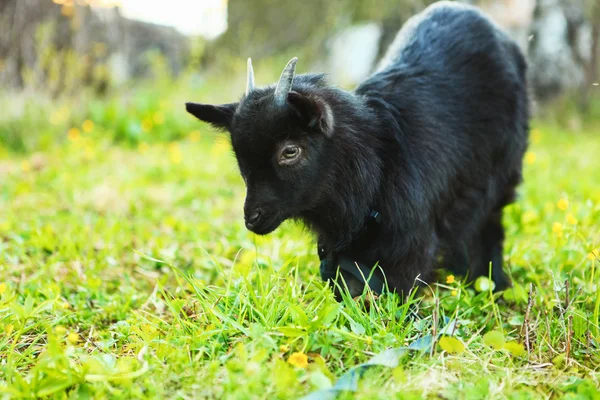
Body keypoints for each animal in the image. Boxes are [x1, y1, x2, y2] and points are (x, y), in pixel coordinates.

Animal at [185, 1, 528, 298]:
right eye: (239, 157)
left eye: (290, 151)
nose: (252, 218)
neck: (379, 161)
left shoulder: (410, 249)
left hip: (499, 180)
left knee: (489, 227)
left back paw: (492, 284)